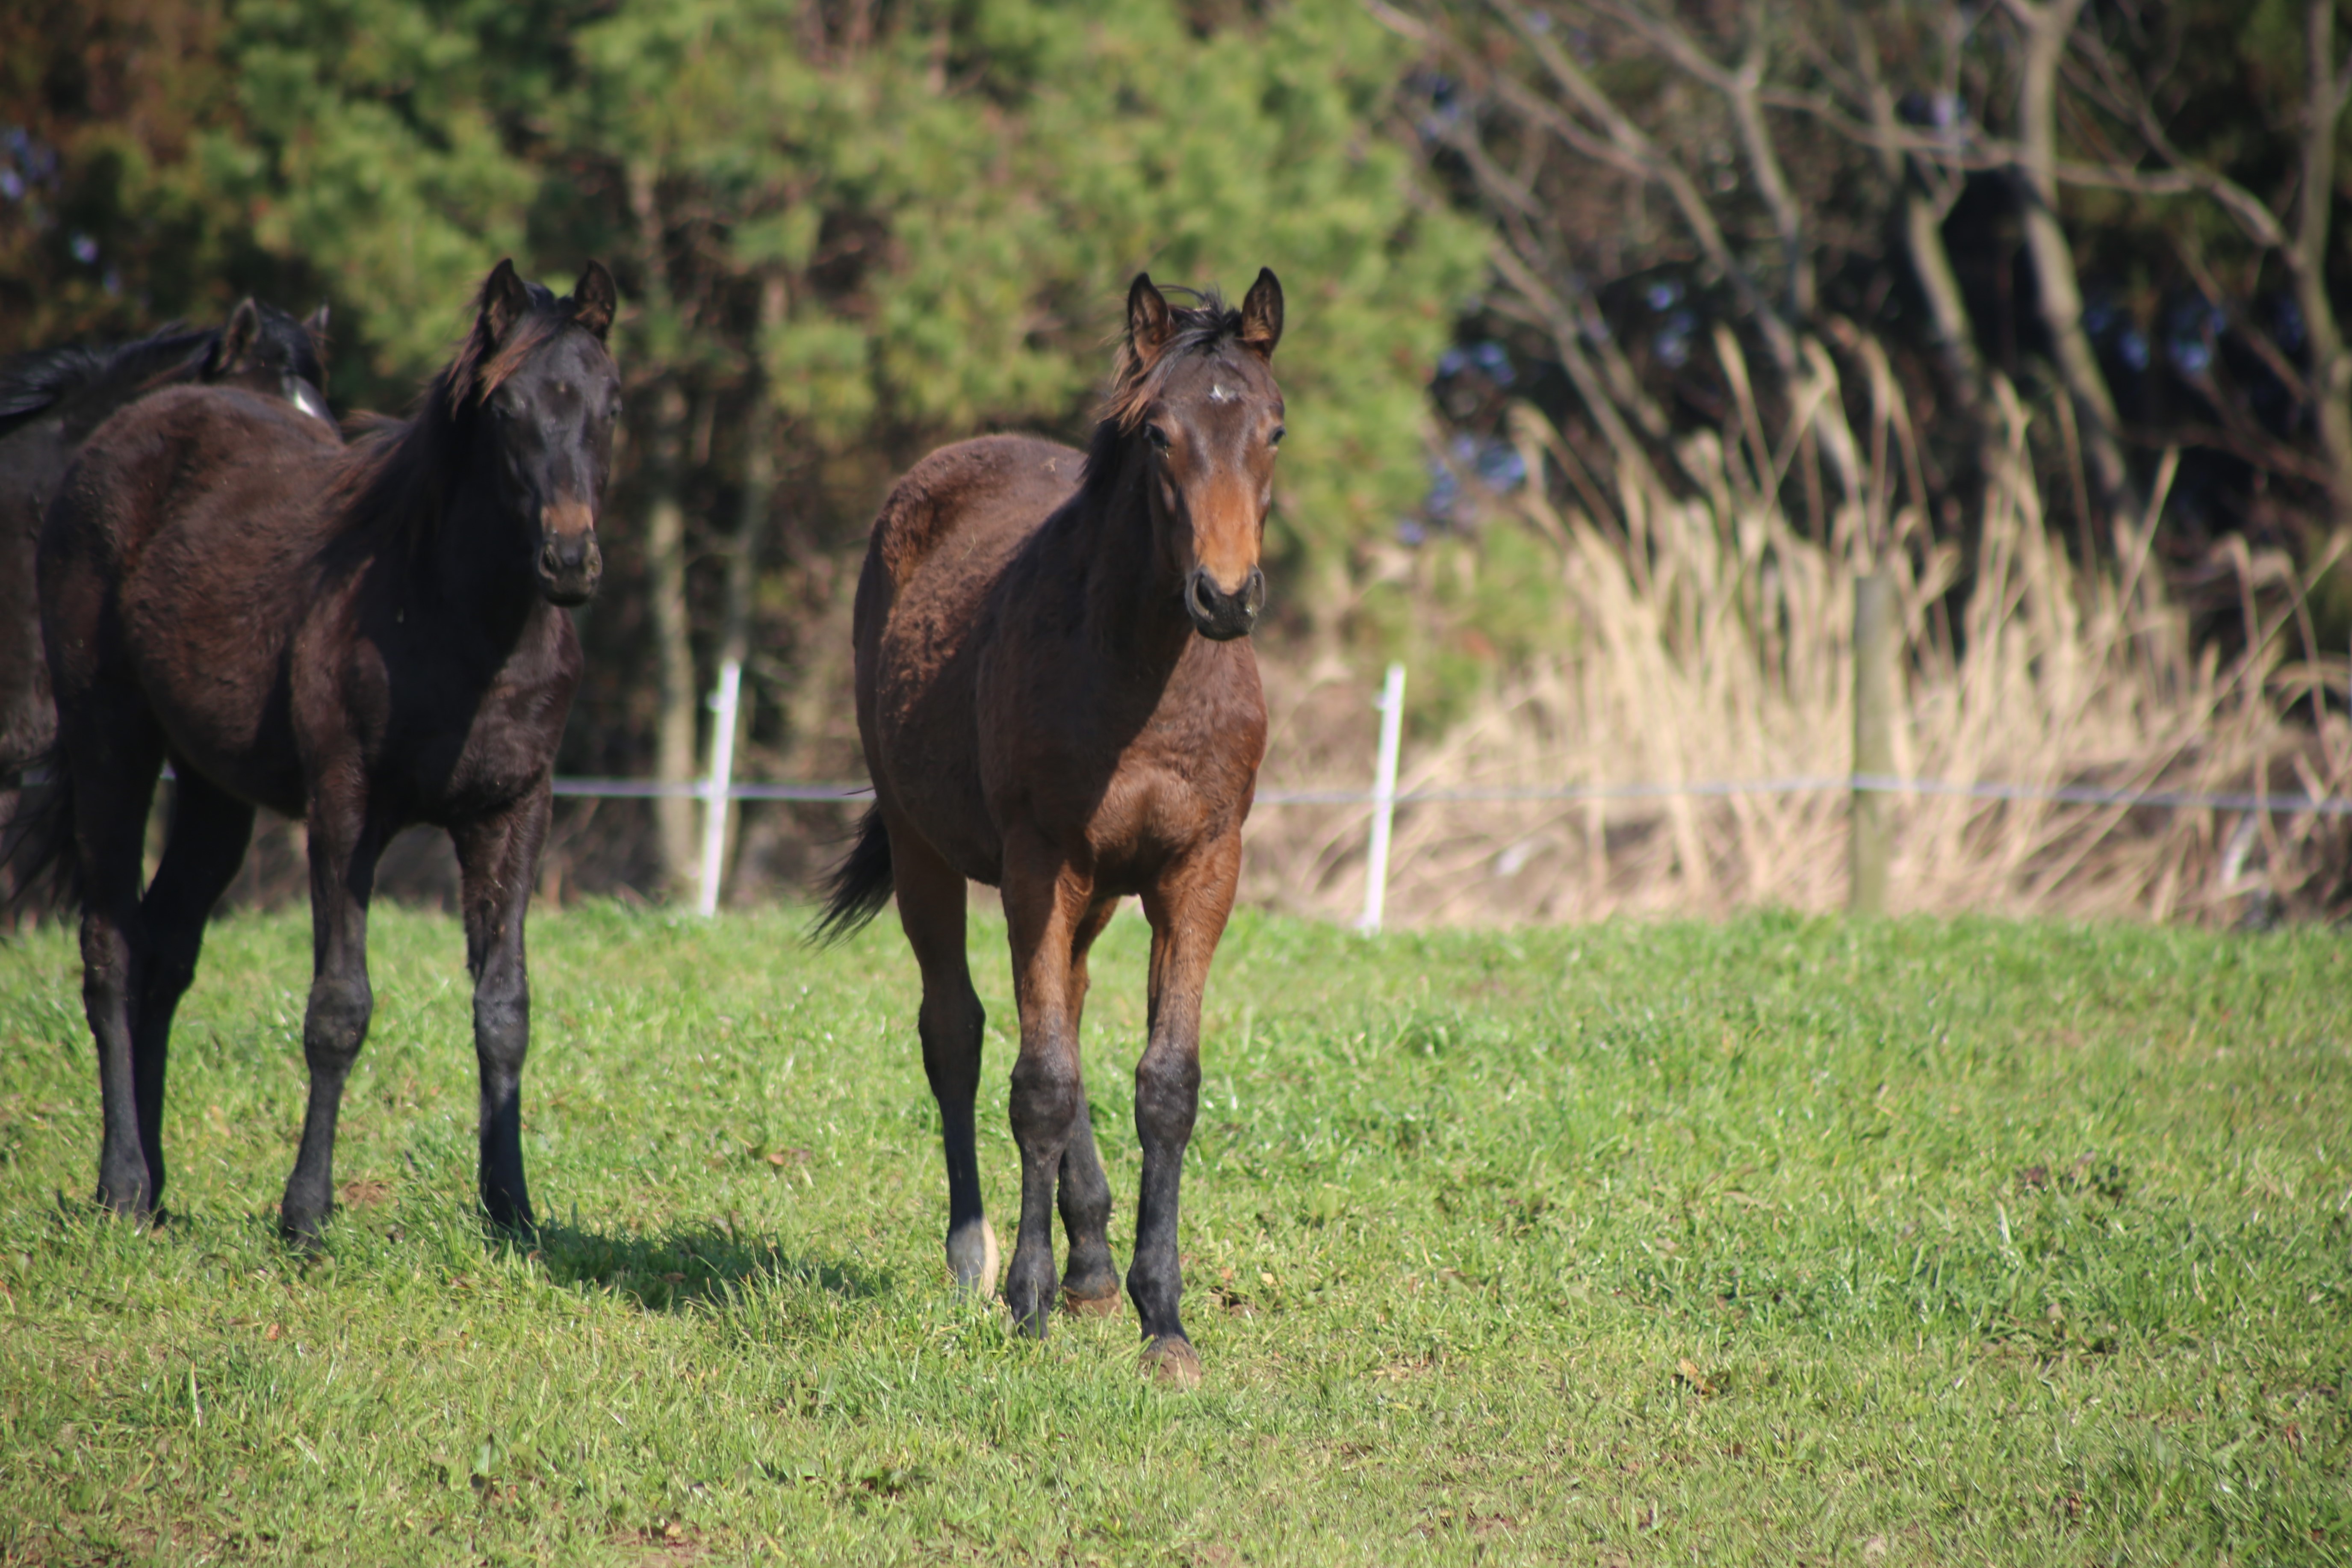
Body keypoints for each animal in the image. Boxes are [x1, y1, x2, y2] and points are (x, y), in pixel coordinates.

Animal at [11, 261, 616, 1241]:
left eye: (612, 403)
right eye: (506, 408)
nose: (569, 561)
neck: (457, 623)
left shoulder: (513, 811)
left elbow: (504, 1010)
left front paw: (511, 1210)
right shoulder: (344, 808)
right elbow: (339, 1008)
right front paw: (304, 1215)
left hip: (212, 789)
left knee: (163, 951)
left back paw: (160, 1187)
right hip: (112, 742)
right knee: (110, 950)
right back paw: (124, 1186)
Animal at [814, 272, 1289, 1382]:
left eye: (1273, 429)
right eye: (1157, 434)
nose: (1224, 596)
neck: (1140, 674)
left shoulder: (1198, 869)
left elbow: (1162, 1083)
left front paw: (1163, 1320)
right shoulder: (1038, 863)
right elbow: (1039, 1079)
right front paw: (1025, 1304)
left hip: (1096, 892)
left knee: (1060, 1003)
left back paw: (1092, 1270)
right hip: (929, 854)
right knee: (956, 1031)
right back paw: (978, 1260)